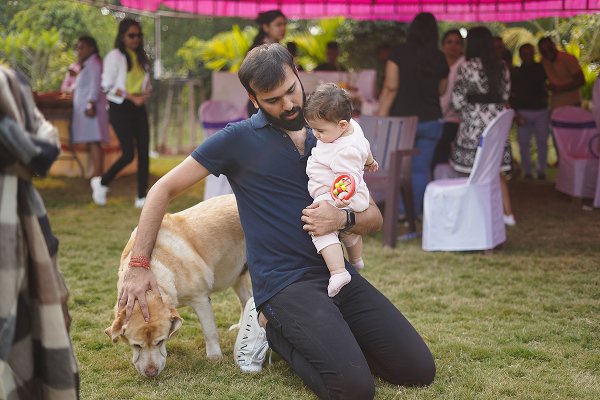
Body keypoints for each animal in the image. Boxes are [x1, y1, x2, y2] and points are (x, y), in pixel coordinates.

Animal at [105, 194, 252, 377]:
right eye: (136, 345)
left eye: (160, 342)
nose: (151, 372)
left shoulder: (200, 299)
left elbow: (209, 331)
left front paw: (214, 357)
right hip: (236, 274)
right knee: (246, 299)